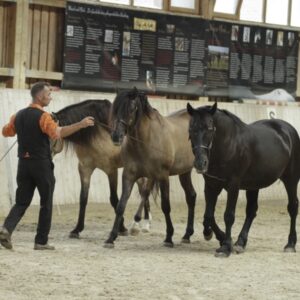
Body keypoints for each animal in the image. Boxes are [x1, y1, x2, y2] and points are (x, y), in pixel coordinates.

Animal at [50, 99, 154, 238]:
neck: (96, 133)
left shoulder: (111, 170)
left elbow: (114, 199)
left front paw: (122, 228)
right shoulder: (85, 169)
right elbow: (83, 198)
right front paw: (77, 229)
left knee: (145, 190)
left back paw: (145, 224)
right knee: (143, 188)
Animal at [104, 88, 198, 247]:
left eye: (131, 108)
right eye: (115, 109)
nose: (116, 136)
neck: (146, 139)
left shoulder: (163, 176)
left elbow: (166, 206)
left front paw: (168, 237)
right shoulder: (129, 175)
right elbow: (121, 205)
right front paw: (111, 238)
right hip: (184, 172)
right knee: (191, 196)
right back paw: (187, 235)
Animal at [188, 102, 300, 256]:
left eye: (209, 128)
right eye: (191, 129)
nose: (200, 163)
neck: (228, 144)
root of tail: (288, 129)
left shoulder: (233, 185)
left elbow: (228, 216)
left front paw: (225, 247)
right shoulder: (211, 185)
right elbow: (208, 216)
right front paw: (215, 235)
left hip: (291, 179)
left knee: (293, 207)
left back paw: (290, 244)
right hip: (254, 185)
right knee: (251, 211)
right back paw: (240, 242)